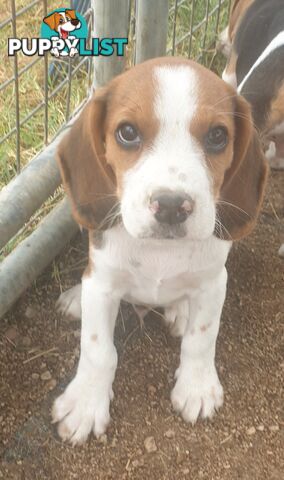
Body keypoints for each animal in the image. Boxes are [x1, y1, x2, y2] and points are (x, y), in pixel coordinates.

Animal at [51, 58, 268, 444]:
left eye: (217, 136)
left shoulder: (214, 283)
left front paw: (197, 388)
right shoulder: (103, 284)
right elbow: (97, 349)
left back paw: (180, 310)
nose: (171, 206)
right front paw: (86, 403)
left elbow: (202, 338)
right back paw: (77, 297)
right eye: (127, 132)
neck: (160, 251)